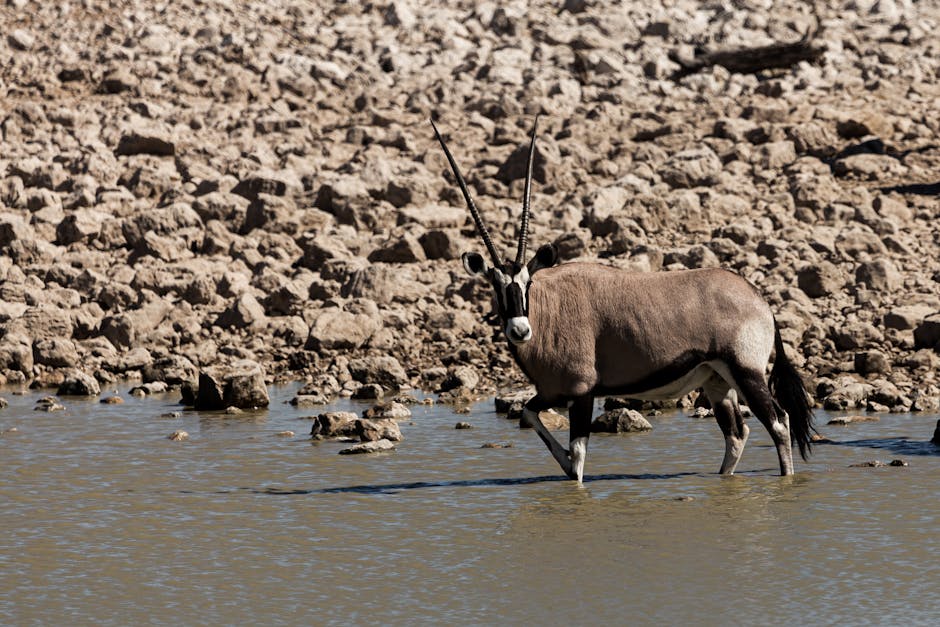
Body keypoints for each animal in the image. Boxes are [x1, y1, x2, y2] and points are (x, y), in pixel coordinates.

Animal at [434, 116, 816, 486]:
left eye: (527, 284)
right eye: (496, 286)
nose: (520, 330)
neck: (549, 309)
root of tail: (760, 300)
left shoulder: (582, 391)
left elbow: (578, 457)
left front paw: (571, 475)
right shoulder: (553, 392)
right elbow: (529, 414)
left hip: (745, 372)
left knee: (778, 423)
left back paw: (785, 481)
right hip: (717, 381)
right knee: (737, 433)